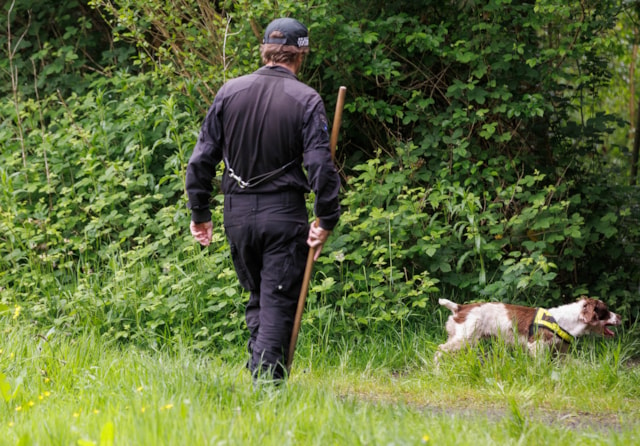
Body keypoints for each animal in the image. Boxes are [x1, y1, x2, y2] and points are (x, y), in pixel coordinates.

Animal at [432, 296, 624, 362]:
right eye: (606, 311)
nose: (621, 317)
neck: (565, 320)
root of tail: (459, 307)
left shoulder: (561, 351)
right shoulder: (536, 346)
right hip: (464, 339)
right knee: (439, 350)